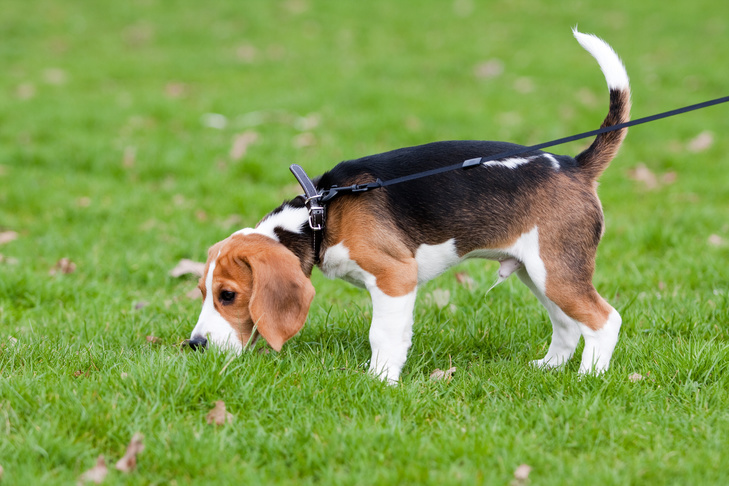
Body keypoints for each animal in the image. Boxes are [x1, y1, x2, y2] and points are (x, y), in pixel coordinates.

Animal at [188, 30, 632, 384]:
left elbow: (381, 334)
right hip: (538, 273)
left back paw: (589, 377)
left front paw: (380, 380)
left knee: (604, 320)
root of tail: (574, 165)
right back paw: (550, 367)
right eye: (202, 292)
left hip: (555, 271)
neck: (320, 216)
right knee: (568, 325)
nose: (194, 345)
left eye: (228, 295)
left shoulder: (394, 277)